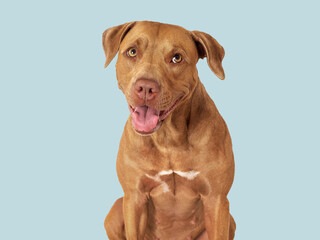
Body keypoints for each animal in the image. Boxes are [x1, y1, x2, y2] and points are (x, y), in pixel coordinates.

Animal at [102, 21, 235, 240]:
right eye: (132, 52)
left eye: (177, 58)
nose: (145, 87)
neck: (168, 138)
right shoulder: (134, 198)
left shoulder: (216, 200)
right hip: (116, 210)